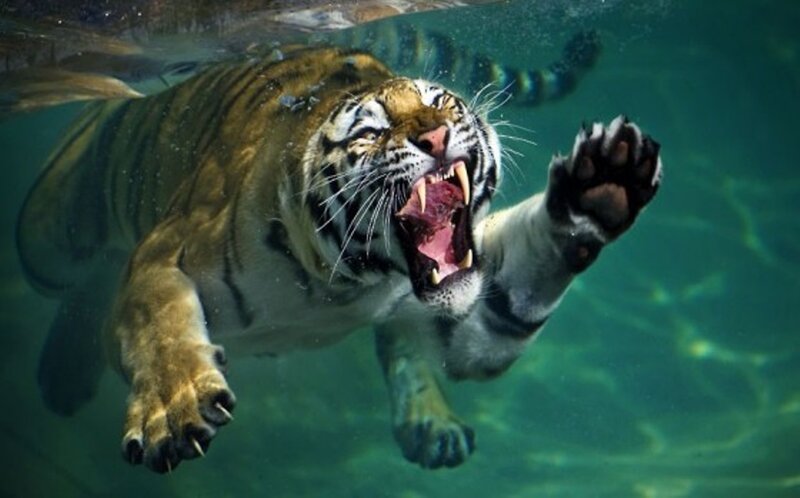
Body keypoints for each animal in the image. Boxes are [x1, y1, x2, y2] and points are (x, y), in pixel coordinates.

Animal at [16, 40, 662, 473]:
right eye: (371, 131)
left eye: (445, 103)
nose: (436, 135)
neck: (343, 282)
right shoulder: (164, 251)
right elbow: (158, 325)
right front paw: (174, 414)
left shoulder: (467, 319)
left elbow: (505, 308)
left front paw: (601, 188)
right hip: (45, 241)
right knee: (86, 280)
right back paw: (60, 379)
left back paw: (431, 423)